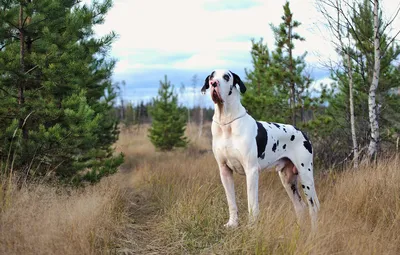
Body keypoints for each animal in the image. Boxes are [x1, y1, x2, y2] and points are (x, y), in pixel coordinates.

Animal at [202, 68, 320, 228]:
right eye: (211, 76)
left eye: (226, 77)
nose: (214, 83)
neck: (226, 121)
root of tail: (302, 132)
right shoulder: (224, 171)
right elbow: (231, 202)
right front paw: (232, 223)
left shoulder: (251, 171)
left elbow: (252, 204)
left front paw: (252, 226)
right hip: (288, 180)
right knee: (300, 206)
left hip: (306, 176)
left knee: (313, 207)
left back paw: (314, 231)